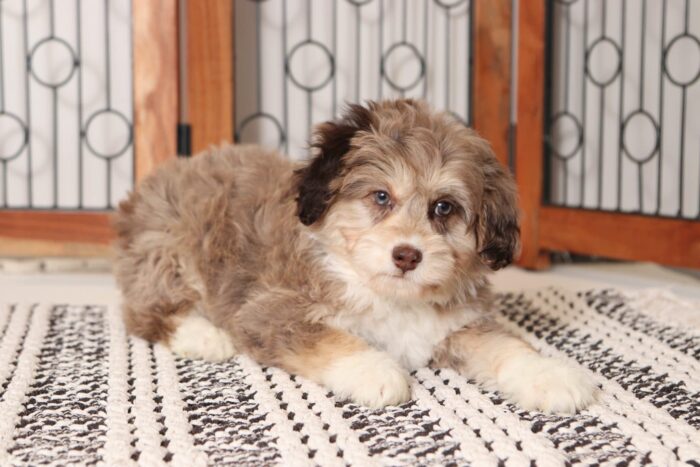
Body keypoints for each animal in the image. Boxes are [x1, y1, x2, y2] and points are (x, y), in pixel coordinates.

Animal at [113, 98, 596, 414]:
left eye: (444, 208)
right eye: (381, 196)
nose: (407, 255)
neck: (387, 295)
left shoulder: (457, 323)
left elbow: (504, 344)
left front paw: (550, 375)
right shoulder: (270, 310)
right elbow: (329, 338)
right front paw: (375, 371)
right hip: (169, 249)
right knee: (144, 311)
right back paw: (205, 336)